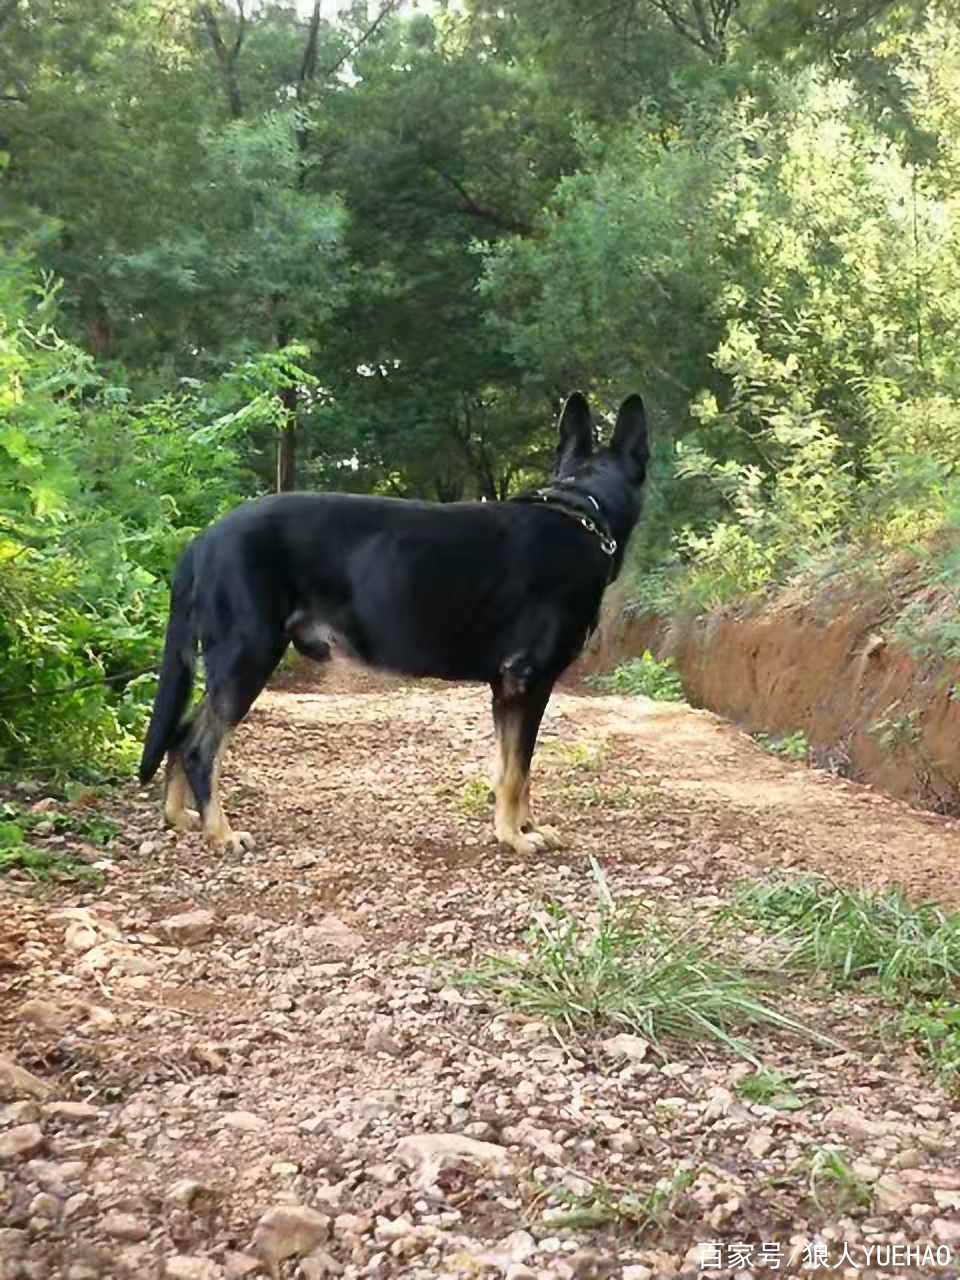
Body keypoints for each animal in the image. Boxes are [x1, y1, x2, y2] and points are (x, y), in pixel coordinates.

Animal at [140, 389, 655, 849]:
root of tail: (202, 540)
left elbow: (511, 768)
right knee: (200, 748)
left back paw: (179, 816)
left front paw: (523, 826)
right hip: (248, 656)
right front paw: (514, 836)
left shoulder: (506, 689)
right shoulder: (527, 681)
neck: (582, 509)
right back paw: (221, 834)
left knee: (181, 734)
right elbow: (517, 771)